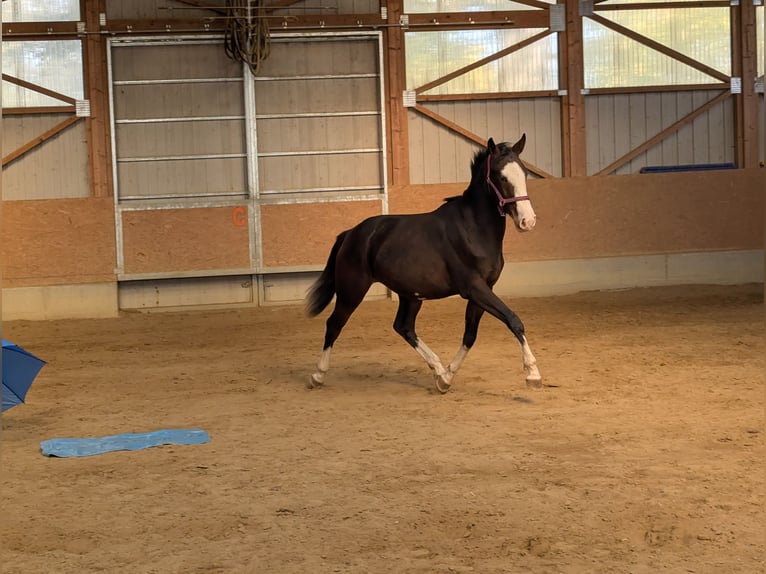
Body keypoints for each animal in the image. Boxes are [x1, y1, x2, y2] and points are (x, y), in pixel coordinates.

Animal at [306, 135, 542, 394]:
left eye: (524, 173)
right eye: (501, 176)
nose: (528, 221)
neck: (473, 229)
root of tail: (351, 233)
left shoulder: (484, 289)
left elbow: (470, 335)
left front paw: (447, 377)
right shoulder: (474, 288)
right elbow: (513, 320)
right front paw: (533, 374)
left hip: (410, 295)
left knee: (404, 327)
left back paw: (438, 370)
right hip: (352, 291)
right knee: (334, 324)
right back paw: (317, 375)